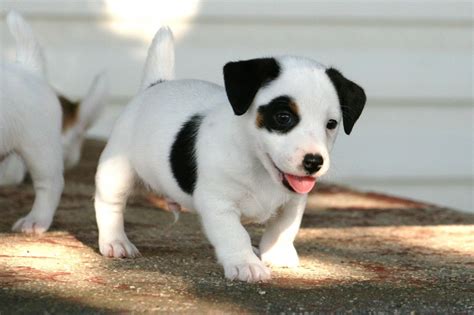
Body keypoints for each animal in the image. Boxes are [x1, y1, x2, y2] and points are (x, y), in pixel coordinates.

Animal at [93, 27, 366, 284]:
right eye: (283, 117)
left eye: (331, 124)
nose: (314, 162)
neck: (259, 165)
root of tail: (156, 85)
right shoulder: (218, 204)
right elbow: (235, 234)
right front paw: (246, 264)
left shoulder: (293, 202)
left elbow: (283, 228)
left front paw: (277, 254)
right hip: (116, 171)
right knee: (110, 205)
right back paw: (115, 241)